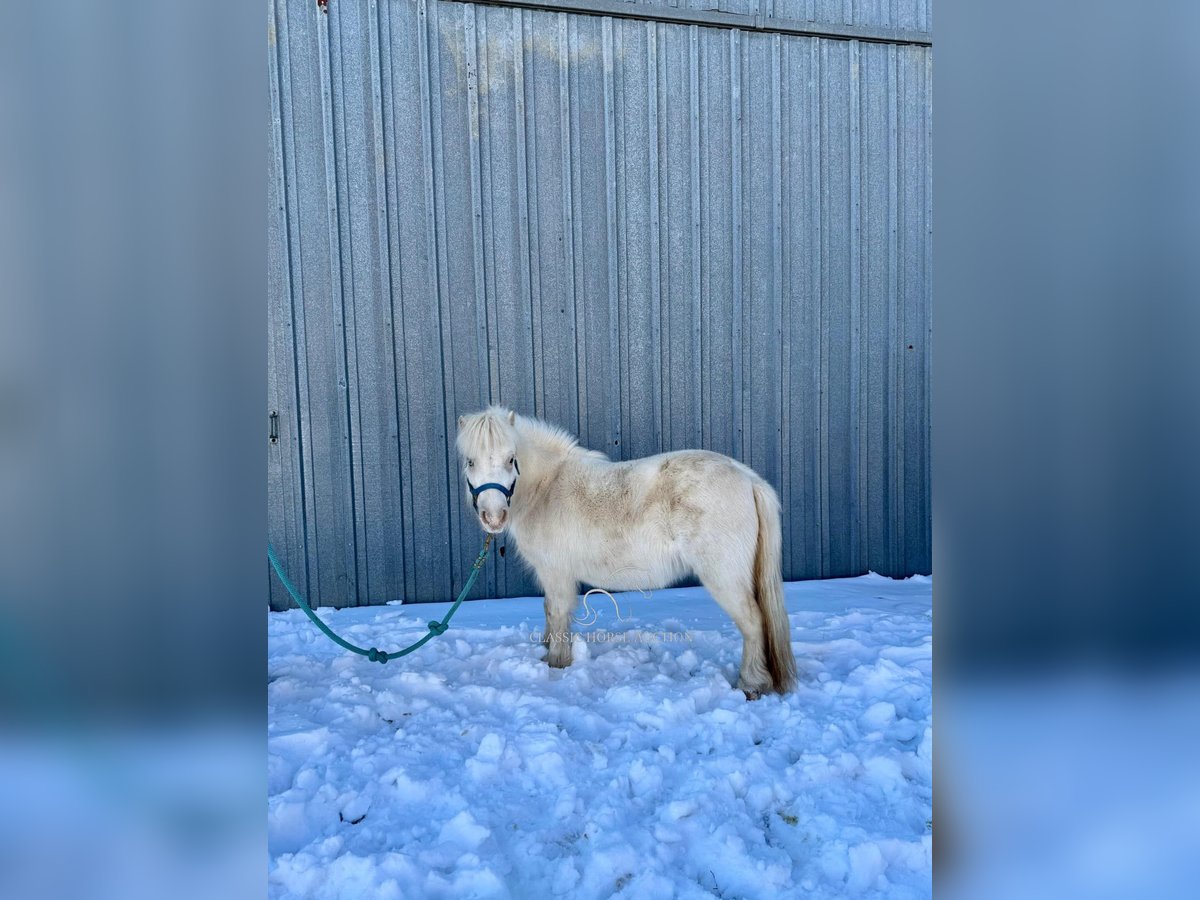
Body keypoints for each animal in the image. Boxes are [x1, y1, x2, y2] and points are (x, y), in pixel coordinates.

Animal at [451, 408, 796, 696]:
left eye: (511, 459)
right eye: (470, 461)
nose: (494, 517)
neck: (546, 489)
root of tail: (749, 480)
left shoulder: (556, 573)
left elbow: (557, 613)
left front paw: (557, 664)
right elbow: (549, 612)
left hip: (725, 577)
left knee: (753, 623)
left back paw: (750, 684)